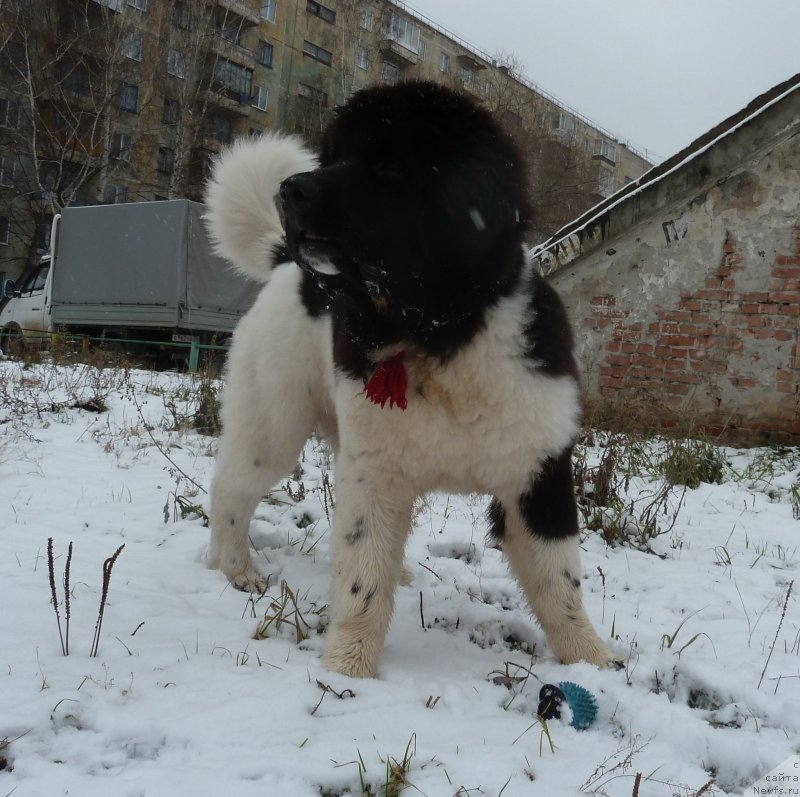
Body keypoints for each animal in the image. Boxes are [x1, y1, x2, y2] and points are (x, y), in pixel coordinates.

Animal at [203, 81, 608, 676]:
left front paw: (592, 661)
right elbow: (361, 581)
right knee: (232, 488)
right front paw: (347, 669)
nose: (289, 190)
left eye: (390, 167)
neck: (440, 334)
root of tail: (285, 265)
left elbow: (560, 584)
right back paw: (235, 569)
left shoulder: (538, 473)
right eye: (333, 156)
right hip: (273, 421)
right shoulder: (375, 474)